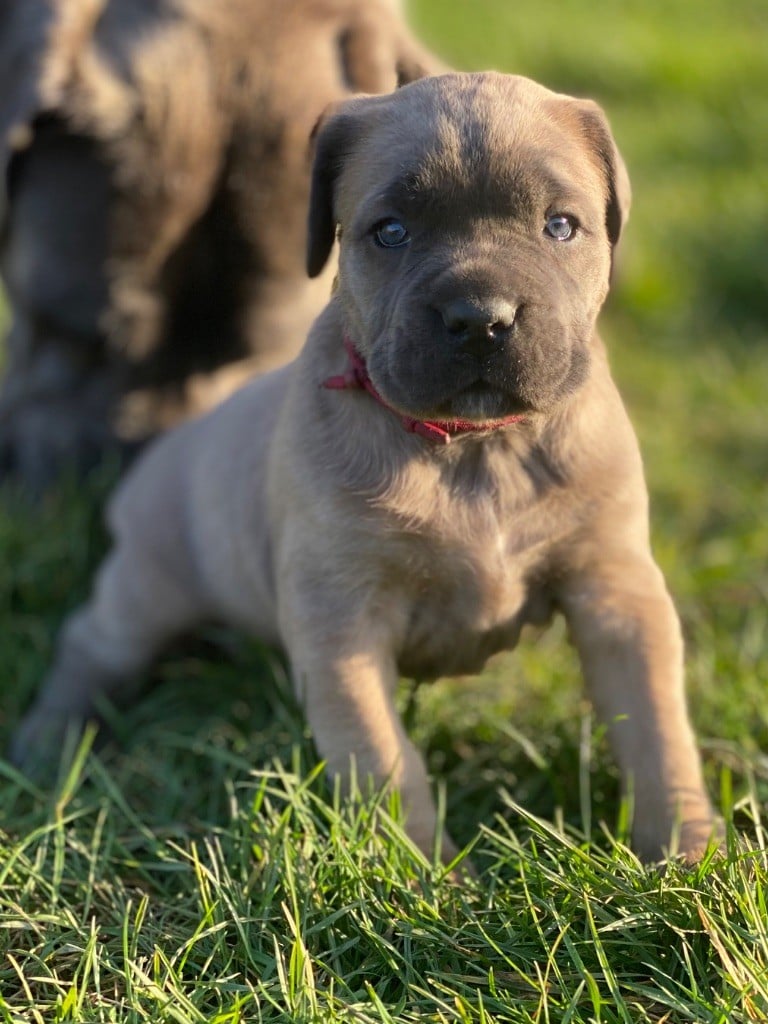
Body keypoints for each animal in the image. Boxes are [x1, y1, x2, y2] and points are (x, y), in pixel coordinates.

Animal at [12, 70, 720, 864]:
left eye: (561, 226)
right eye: (391, 232)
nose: (481, 318)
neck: (472, 449)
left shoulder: (616, 589)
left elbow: (656, 727)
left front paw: (687, 850)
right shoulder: (340, 618)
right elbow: (383, 758)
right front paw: (421, 877)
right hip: (149, 584)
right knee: (93, 645)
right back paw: (49, 745)